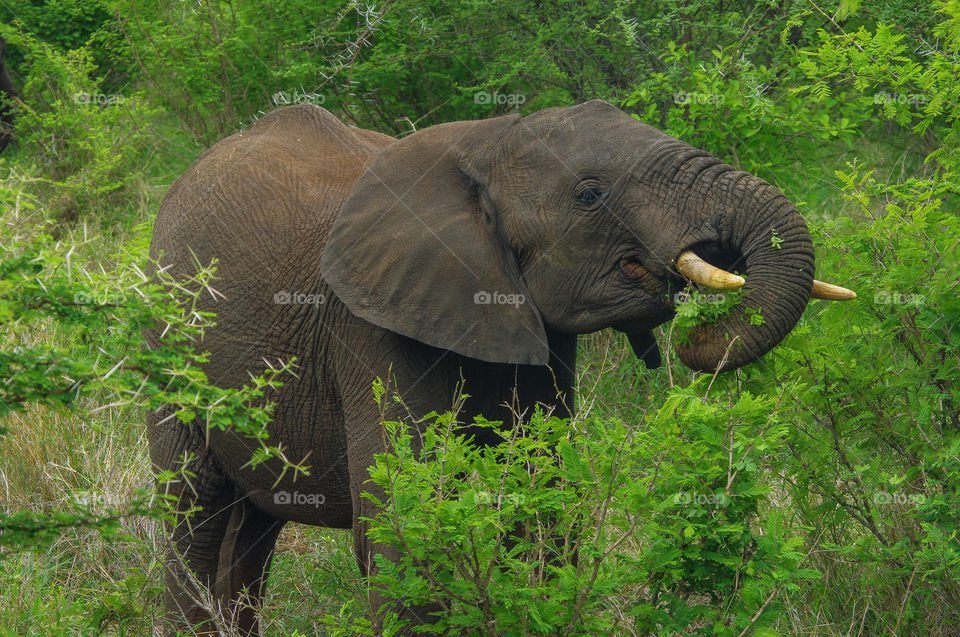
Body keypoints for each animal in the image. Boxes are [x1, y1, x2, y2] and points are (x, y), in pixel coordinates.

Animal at [146, 99, 852, 632]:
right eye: (590, 194)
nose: (690, 339)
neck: (479, 143)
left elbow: (544, 504)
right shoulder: (370, 326)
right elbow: (407, 526)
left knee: (252, 532)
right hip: (167, 336)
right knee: (194, 511)